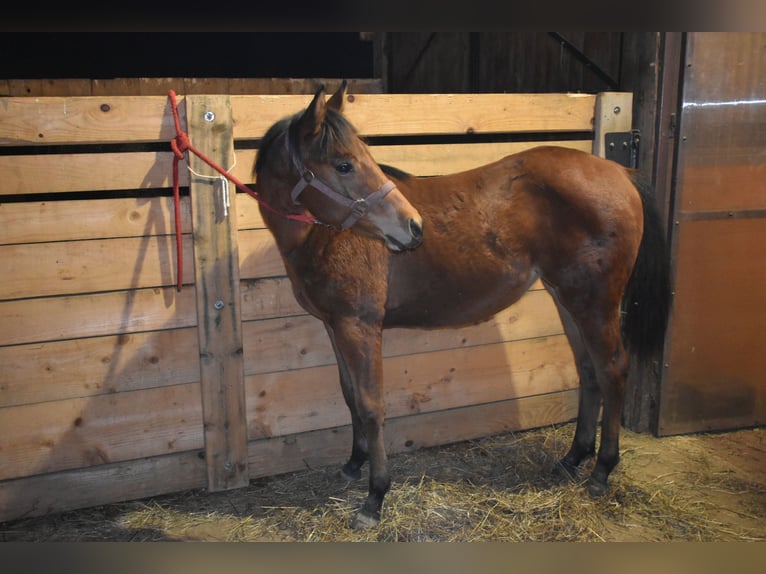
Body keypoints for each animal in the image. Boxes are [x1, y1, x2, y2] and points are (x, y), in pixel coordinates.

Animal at [252, 81, 671, 529]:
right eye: (344, 165)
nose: (413, 227)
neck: (328, 236)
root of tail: (620, 173)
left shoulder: (358, 326)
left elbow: (370, 405)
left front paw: (375, 496)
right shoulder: (335, 325)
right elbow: (350, 395)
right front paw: (352, 464)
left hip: (595, 304)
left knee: (613, 370)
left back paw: (602, 471)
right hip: (568, 299)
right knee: (589, 370)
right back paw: (573, 459)